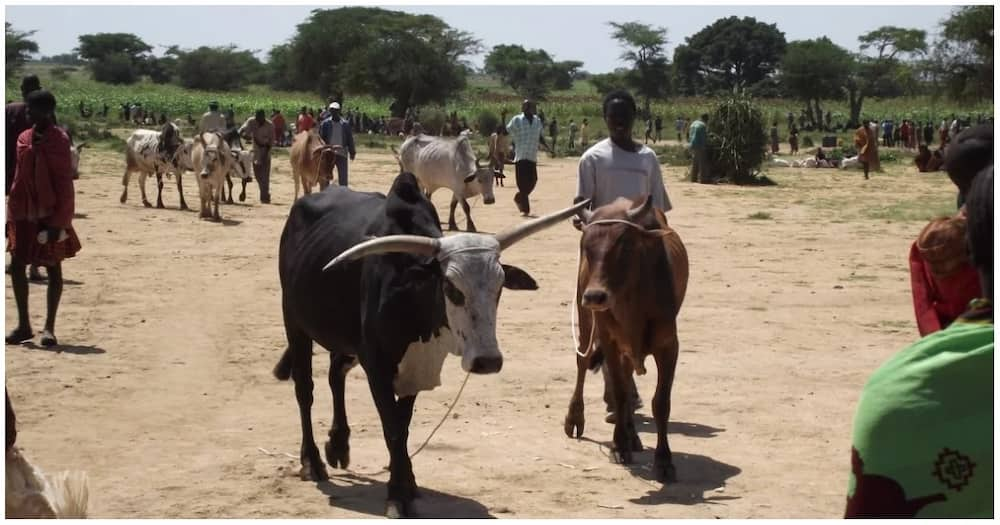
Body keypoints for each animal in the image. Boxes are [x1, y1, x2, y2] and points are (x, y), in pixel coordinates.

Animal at [274, 172, 584, 516]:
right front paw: (397, 494)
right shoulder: (377, 367)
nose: (488, 361)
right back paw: (311, 461)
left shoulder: (415, 369)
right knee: (305, 390)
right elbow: (393, 428)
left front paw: (408, 483)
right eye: (450, 287)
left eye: (500, 286)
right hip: (294, 322)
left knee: (335, 374)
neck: (414, 297)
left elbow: (403, 425)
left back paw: (338, 445)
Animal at [564, 193, 688, 484]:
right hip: (586, 320)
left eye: (625, 247)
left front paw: (664, 460)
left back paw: (632, 435)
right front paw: (619, 445)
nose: (595, 296)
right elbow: (619, 393)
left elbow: (661, 402)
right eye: (586, 247)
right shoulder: (609, 340)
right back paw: (576, 418)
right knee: (583, 362)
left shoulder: (669, 345)